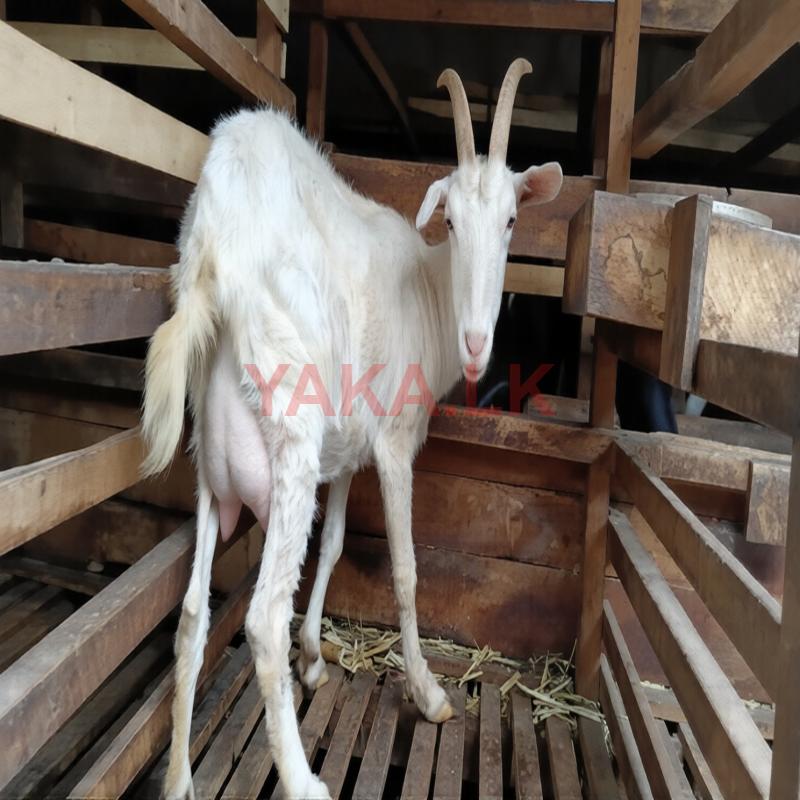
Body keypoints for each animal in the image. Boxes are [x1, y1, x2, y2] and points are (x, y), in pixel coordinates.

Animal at [142, 58, 563, 800]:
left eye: (512, 219)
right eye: (450, 220)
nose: (477, 344)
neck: (427, 290)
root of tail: (214, 243)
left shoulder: (345, 452)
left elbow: (336, 542)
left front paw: (315, 654)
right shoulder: (391, 443)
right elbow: (405, 571)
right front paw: (428, 693)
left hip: (212, 465)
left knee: (193, 613)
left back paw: (179, 778)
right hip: (291, 425)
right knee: (259, 619)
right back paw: (302, 779)